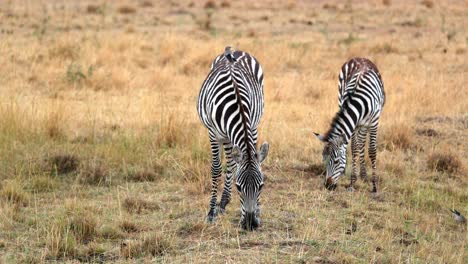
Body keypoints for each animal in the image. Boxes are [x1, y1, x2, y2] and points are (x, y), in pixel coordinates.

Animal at [197, 46, 270, 230]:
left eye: (261, 186)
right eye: (239, 187)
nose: (250, 224)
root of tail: (235, 50)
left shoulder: (252, 126)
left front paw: (258, 211)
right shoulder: (213, 134)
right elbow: (216, 169)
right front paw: (211, 212)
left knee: (232, 163)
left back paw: (224, 202)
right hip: (224, 136)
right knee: (230, 162)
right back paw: (220, 204)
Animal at [312, 57, 386, 192]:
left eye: (336, 161)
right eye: (324, 160)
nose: (328, 186)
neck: (360, 103)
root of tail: (359, 58)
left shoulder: (374, 122)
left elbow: (372, 151)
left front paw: (374, 186)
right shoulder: (355, 124)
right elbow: (354, 149)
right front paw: (352, 182)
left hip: (366, 124)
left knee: (364, 143)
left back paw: (365, 176)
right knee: (360, 144)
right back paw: (362, 175)